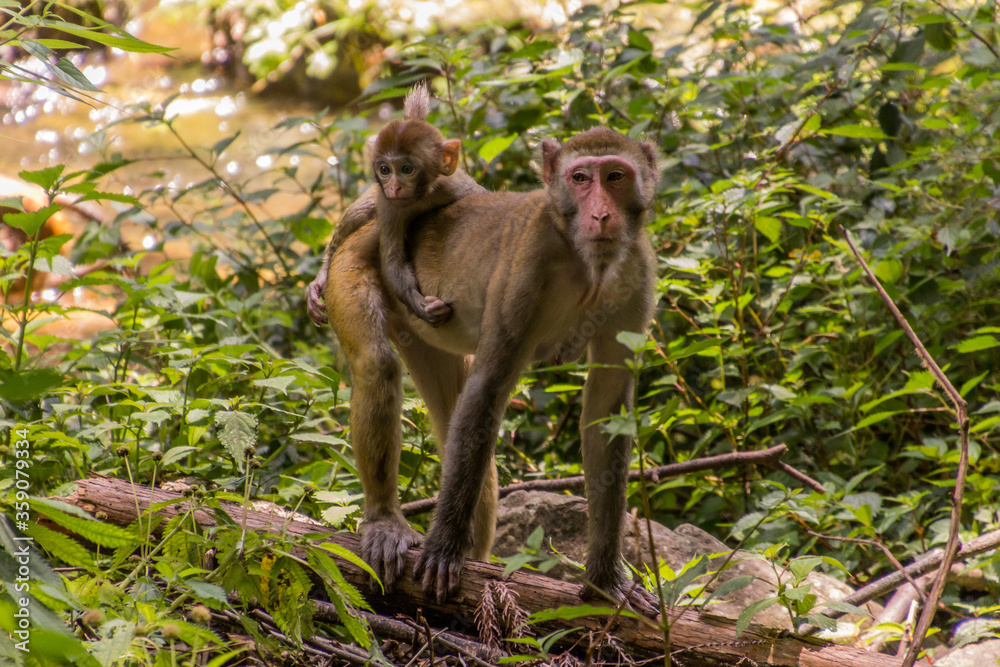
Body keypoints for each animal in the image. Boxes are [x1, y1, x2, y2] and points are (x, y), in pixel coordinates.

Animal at [306, 83, 483, 326]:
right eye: (385, 170)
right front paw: (423, 308)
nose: (394, 187)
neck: (421, 196)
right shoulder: (389, 206)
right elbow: (392, 262)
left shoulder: (456, 187)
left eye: (406, 169)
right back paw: (322, 275)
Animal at [318, 126, 663, 614]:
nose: (601, 214)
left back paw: (477, 561)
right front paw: (443, 549)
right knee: (377, 366)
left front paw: (604, 579)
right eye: (580, 178)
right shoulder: (527, 266)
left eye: (615, 176)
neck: (586, 263)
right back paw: (386, 521)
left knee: (453, 424)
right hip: (357, 263)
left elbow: (606, 408)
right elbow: (488, 387)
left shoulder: (637, 271)